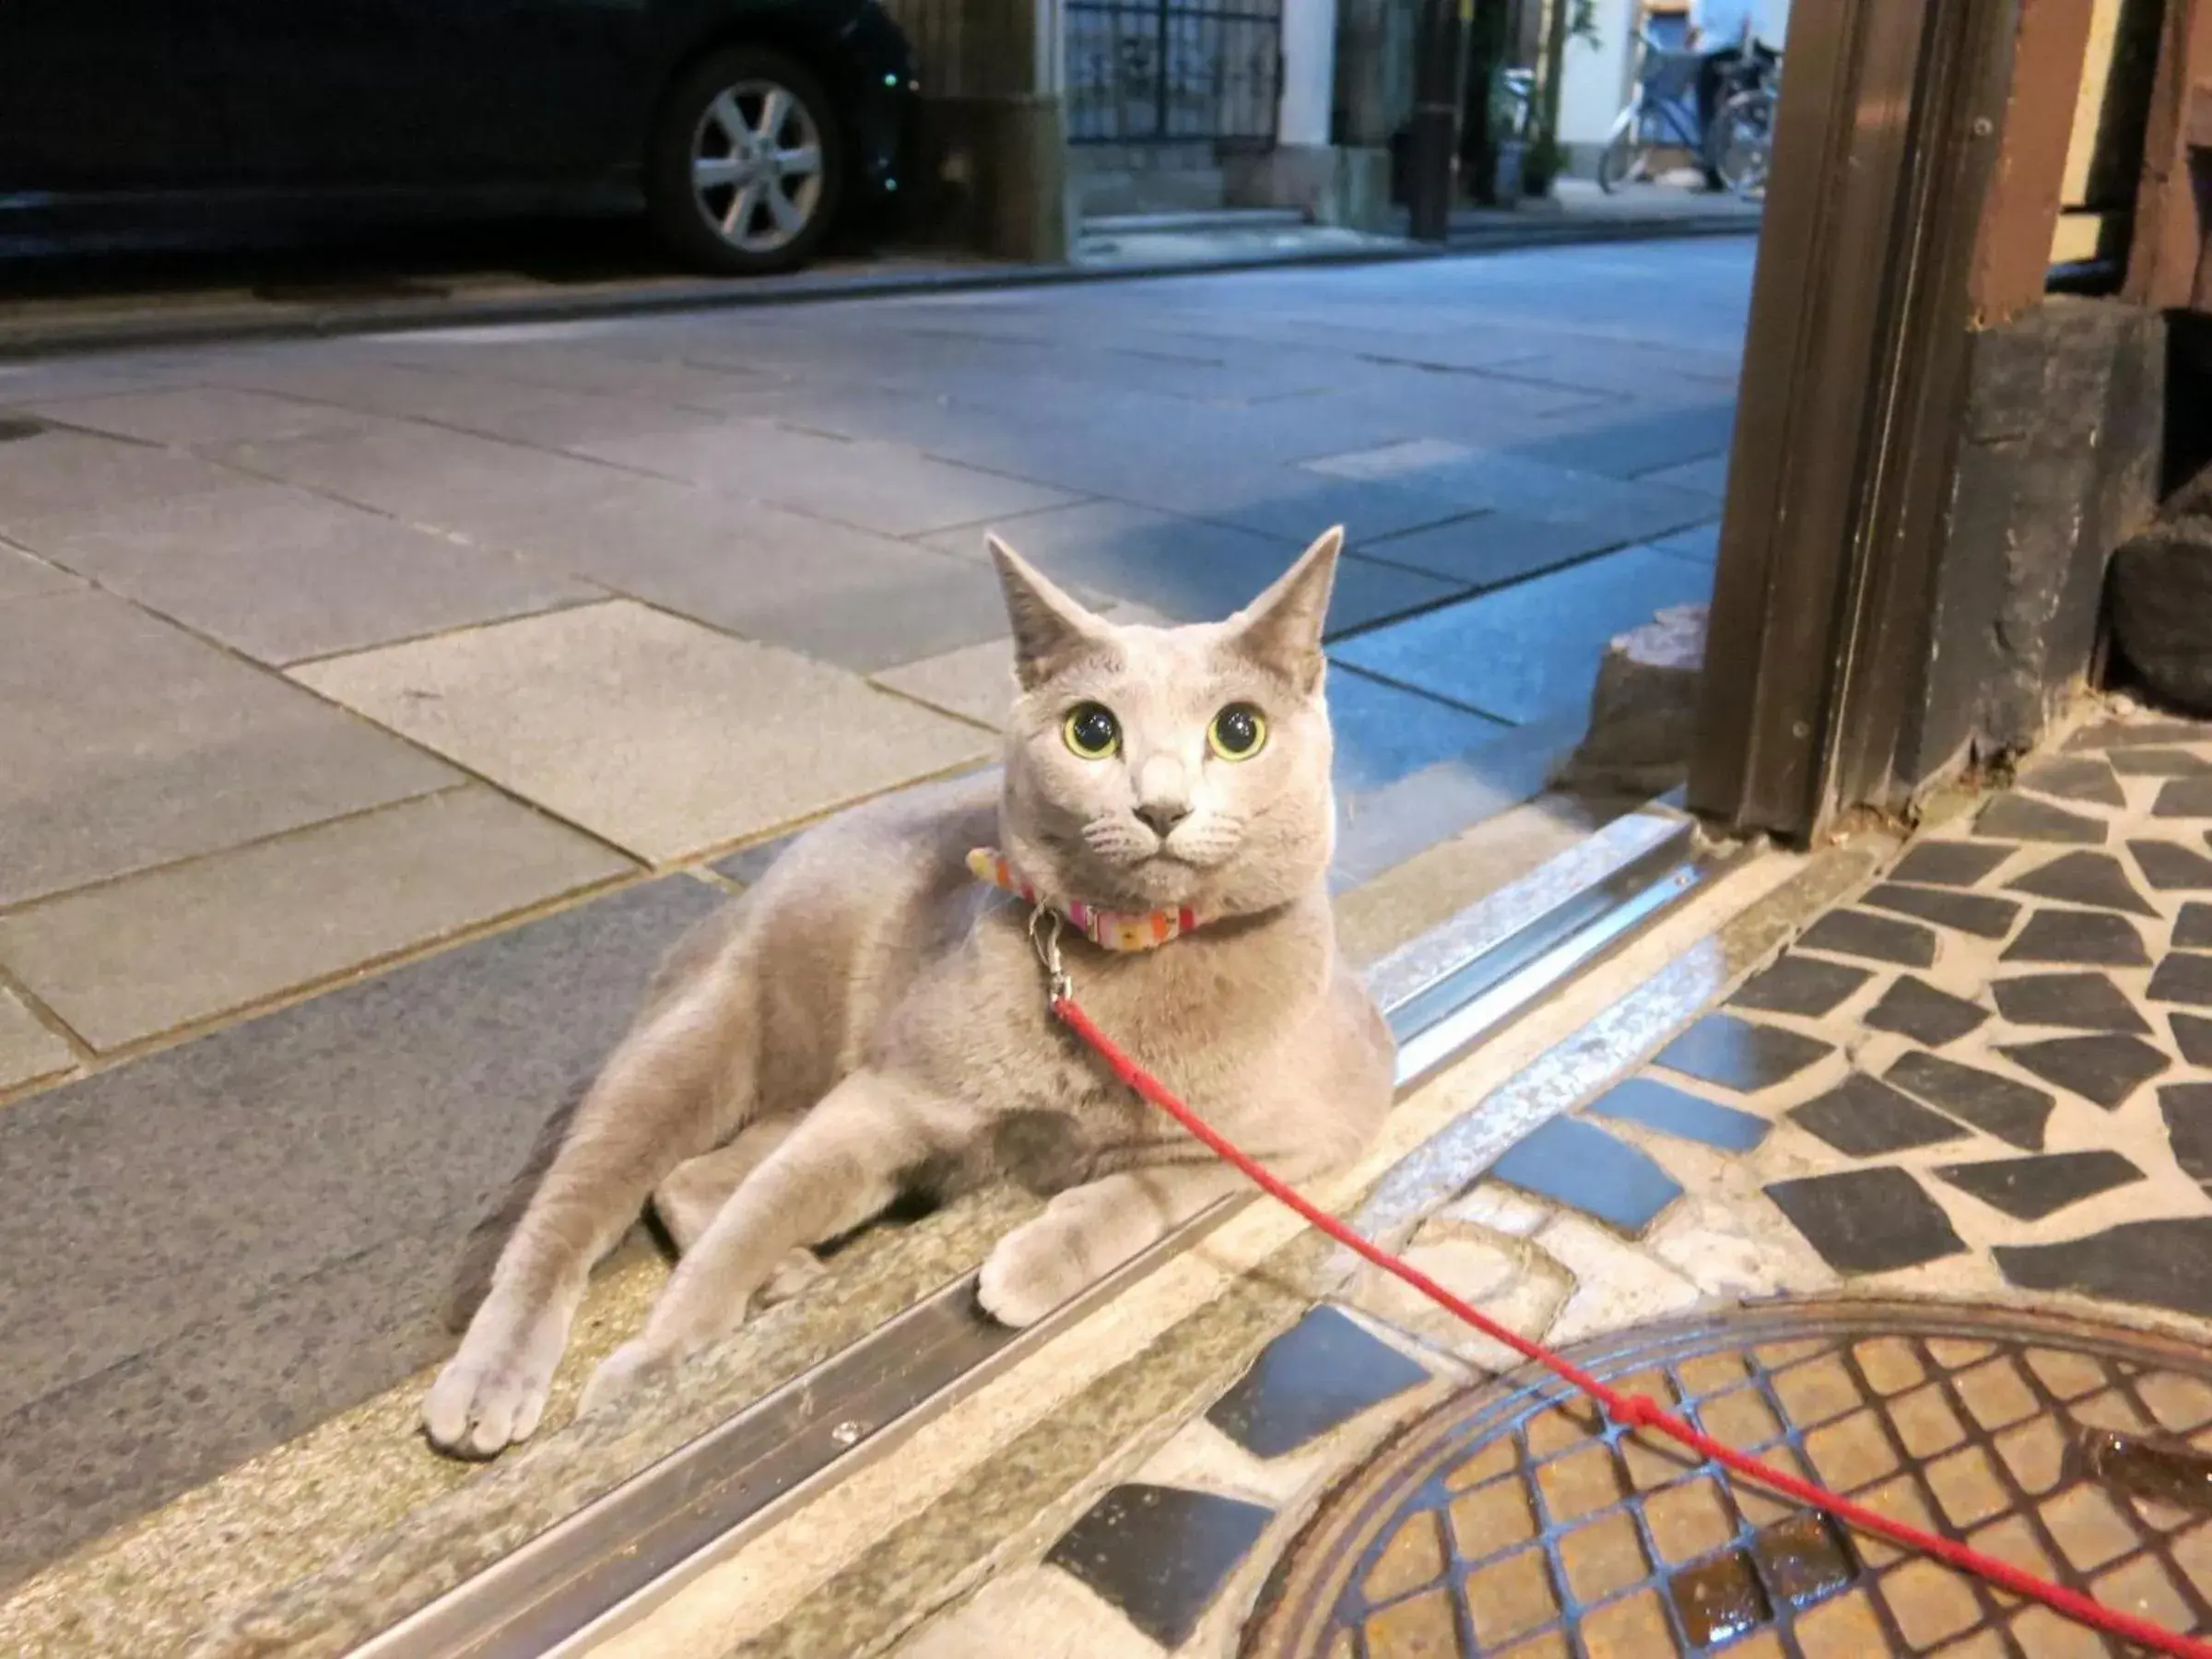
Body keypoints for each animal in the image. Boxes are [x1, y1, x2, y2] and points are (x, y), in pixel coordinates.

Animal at [422, 528, 1389, 1451]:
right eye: (1092, 731)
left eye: (1238, 731)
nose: (1160, 807)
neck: (1129, 968)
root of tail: (752, 891)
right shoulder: (885, 1099)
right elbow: (750, 1224)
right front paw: (660, 1366)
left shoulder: (1325, 1123)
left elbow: (1163, 1188)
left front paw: (1035, 1264)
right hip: (699, 1043)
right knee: (577, 1212)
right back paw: (493, 1382)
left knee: (696, 1178)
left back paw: (789, 1279)